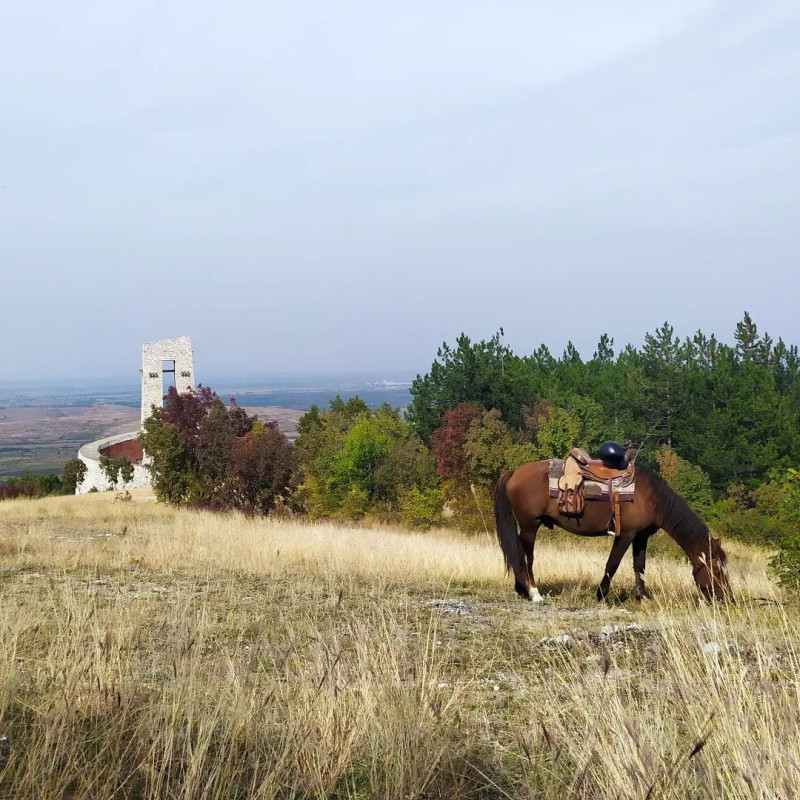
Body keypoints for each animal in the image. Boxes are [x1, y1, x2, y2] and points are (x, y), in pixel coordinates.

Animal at [494, 460, 732, 604]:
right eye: (717, 572)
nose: (728, 599)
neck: (651, 498)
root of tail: (514, 472)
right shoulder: (626, 534)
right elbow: (613, 564)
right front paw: (601, 596)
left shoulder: (641, 537)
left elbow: (639, 566)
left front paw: (642, 596)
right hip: (530, 525)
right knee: (527, 556)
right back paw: (534, 593)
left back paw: (521, 589)